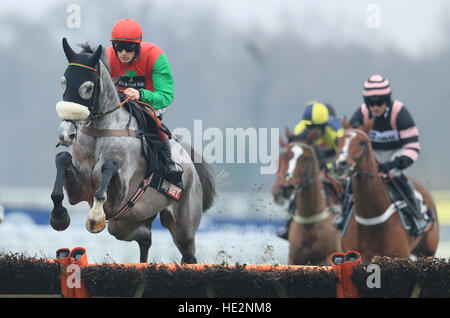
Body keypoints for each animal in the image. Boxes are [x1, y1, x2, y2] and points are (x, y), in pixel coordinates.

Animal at [50, 38, 215, 264]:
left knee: (188, 255)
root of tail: (190, 165)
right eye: (64, 82)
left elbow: (108, 168)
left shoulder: (118, 197)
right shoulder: (79, 190)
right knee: (144, 237)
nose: (66, 133)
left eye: (88, 87)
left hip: (184, 226)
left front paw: (95, 216)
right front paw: (59, 215)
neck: (101, 130)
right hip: (125, 222)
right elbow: (63, 158)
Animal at [270, 128, 342, 264]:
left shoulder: (331, 255)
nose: (286, 188)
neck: (310, 218)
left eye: (306, 157)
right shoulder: (293, 259)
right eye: (282, 157)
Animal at [336, 118, 438, 262]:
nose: (341, 164)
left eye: (362, 142)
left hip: (428, 251)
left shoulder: (401, 255)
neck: (370, 220)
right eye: (338, 141)